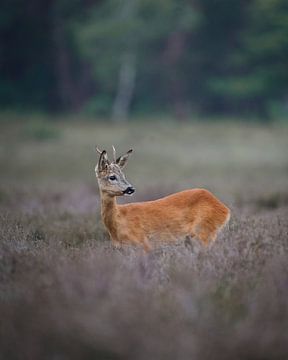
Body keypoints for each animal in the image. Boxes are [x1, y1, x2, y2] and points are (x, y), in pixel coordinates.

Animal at [95, 148, 231, 252]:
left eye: (123, 175)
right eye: (112, 177)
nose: (130, 189)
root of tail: (225, 209)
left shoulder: (143, 243)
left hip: (204, 232)